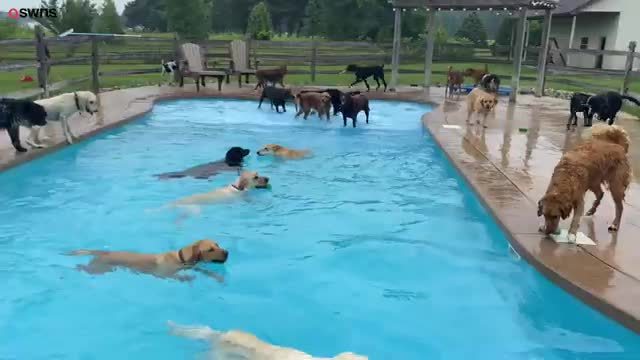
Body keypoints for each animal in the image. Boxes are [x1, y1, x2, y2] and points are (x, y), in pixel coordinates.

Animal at [67, 239, 228, 282]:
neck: (180, 257)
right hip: (100, 269)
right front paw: (187, 278)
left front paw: (218, 277)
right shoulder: (163, 274)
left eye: (218, 244)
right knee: (84, 268)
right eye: (210, 249)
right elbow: (177, 277)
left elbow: (204, 270)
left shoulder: (192, 266)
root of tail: (105, 251)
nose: (227, 252)